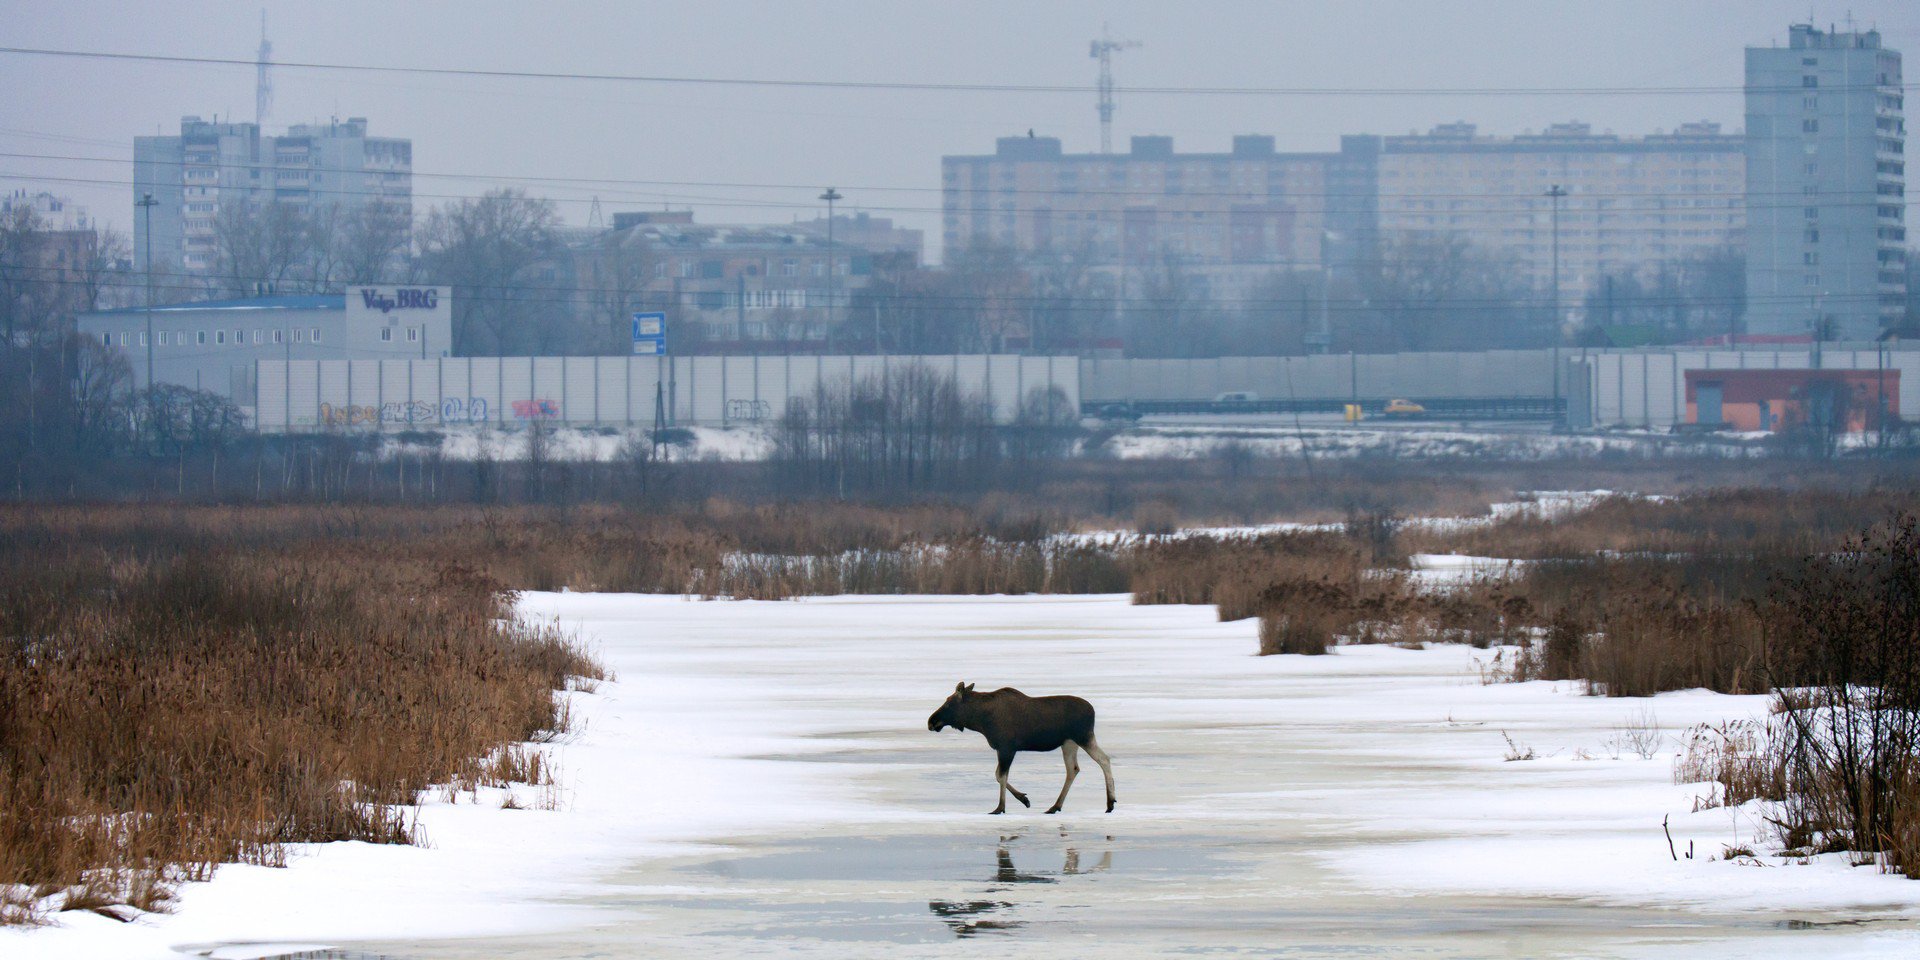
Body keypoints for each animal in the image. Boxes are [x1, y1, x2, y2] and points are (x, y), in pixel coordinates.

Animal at [925, 683, 1121, 817]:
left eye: (948, 703)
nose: (931, 721)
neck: (980, 720)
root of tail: (1092, 710)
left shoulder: (1006, 748)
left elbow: (1001, 776)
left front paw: (1000, 807)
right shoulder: (1003, 749)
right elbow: (998, 775)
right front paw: (1024, 799)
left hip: (1083, 737)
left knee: (1104, 759)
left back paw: (1110, 803)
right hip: (1068, 743)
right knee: (1073, 769)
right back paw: (1055, 806)